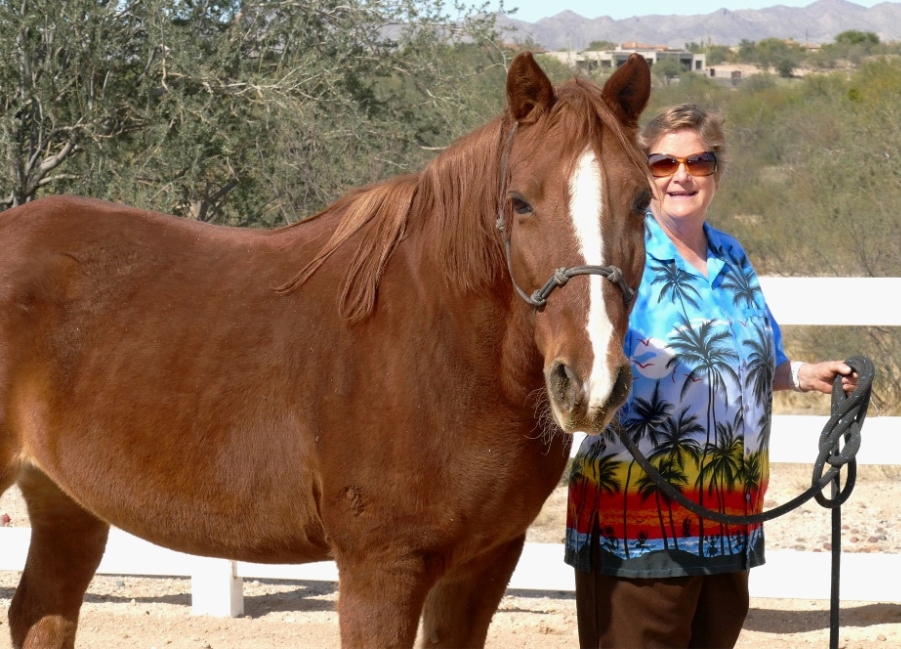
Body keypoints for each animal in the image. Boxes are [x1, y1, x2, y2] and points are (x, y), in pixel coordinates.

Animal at [0, 52, 648, 648]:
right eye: (520, 201)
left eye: (641, 201)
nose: (589, 381)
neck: (443, 347)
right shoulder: (381, 569)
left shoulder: (485, 564)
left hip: (66, 501)